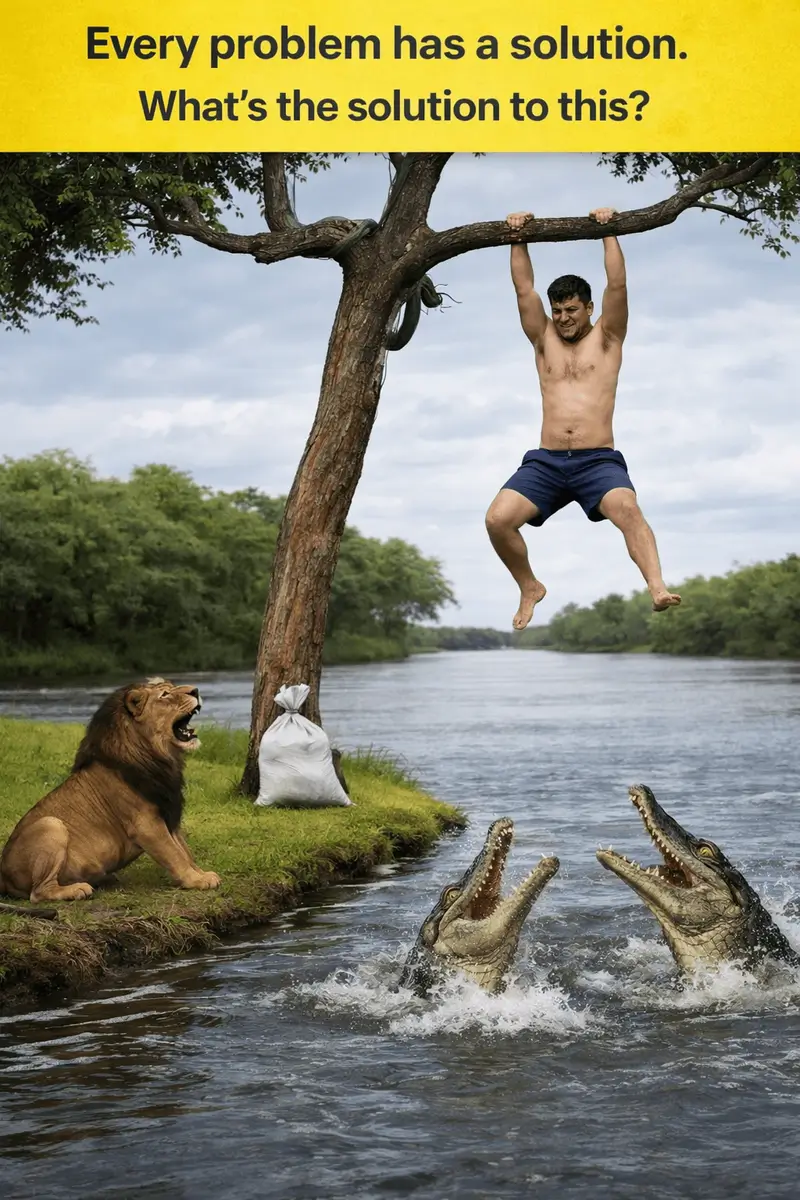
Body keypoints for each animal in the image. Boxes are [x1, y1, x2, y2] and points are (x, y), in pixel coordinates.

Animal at [0, 678, 221, 903]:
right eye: (165, 695)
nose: (195, 690)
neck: (163, 759)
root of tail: (3, 875)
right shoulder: (146, 824)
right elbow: (174, 854)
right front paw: (196, 880)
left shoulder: (168, 813)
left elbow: (184, 850)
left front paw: (201, 873)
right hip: (50, 824)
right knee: (38, 892)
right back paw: (78, 889)